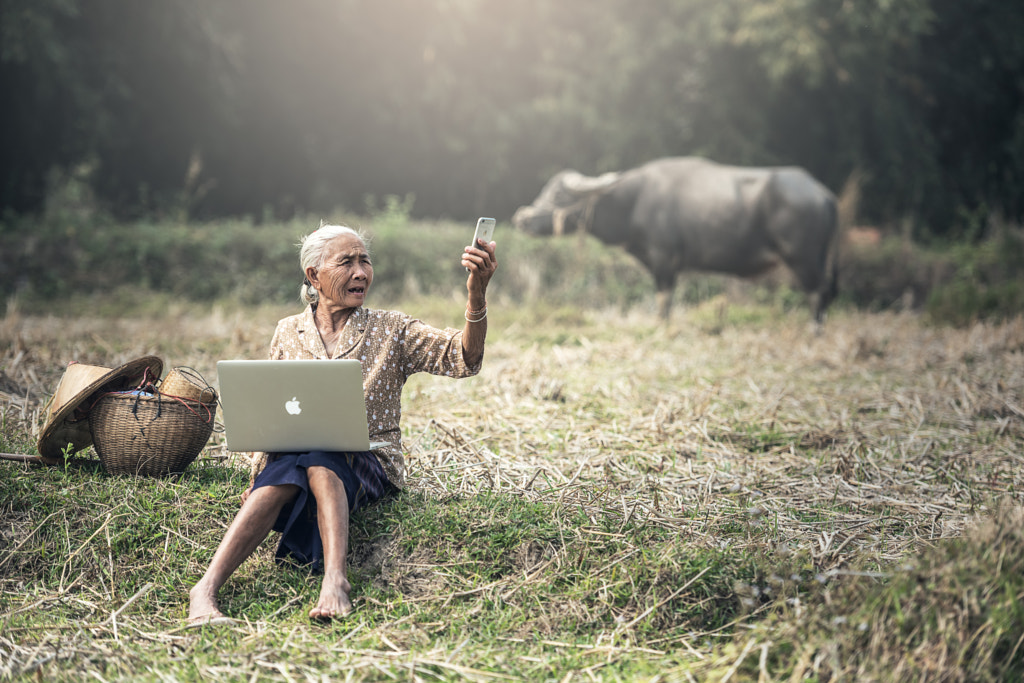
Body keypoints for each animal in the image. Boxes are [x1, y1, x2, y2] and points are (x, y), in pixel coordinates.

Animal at [512, 157, 839, 323]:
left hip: (803, 257)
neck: (633, 201)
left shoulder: (663, 258)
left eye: (557, 195)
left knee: (817, 293)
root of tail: (822, 192)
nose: (522, 218)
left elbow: (663, 300)